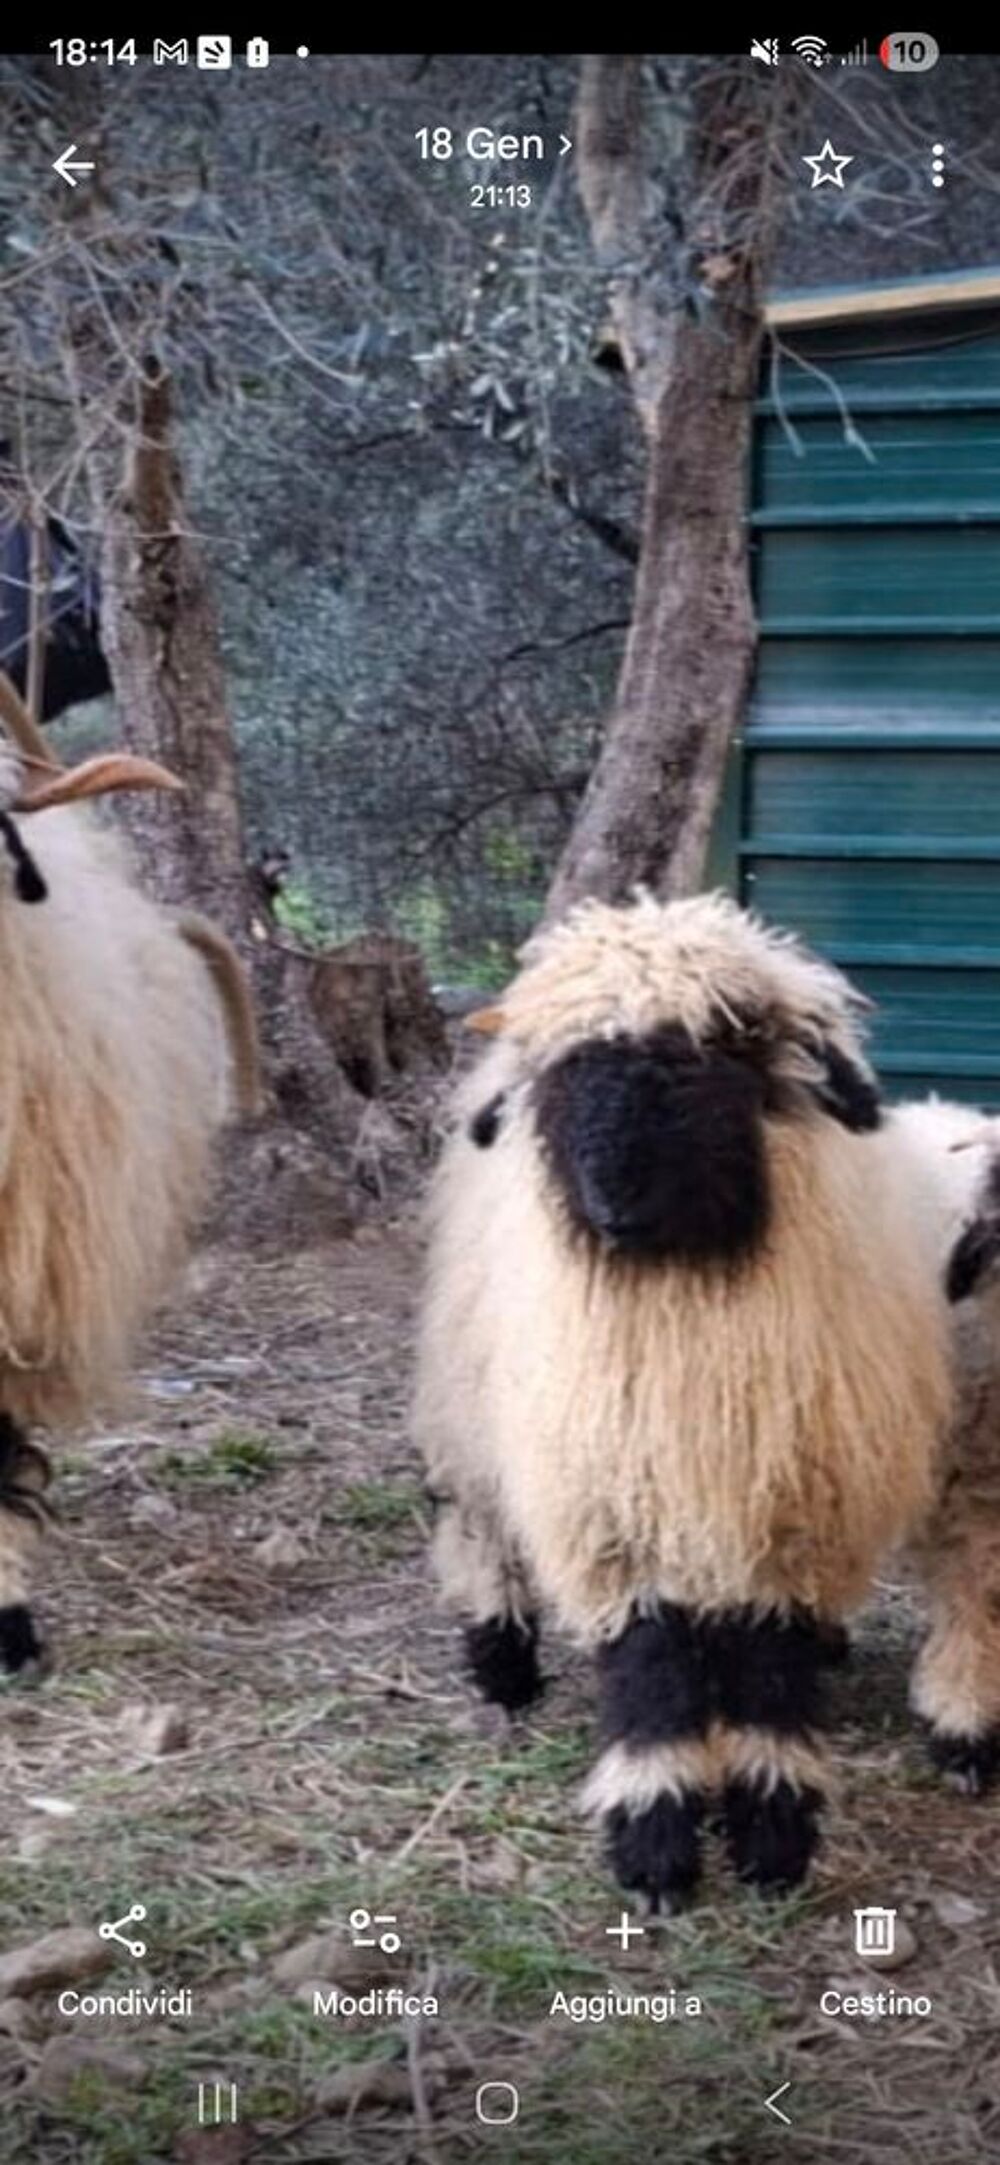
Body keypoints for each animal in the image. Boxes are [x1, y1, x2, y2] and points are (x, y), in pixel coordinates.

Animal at [413, 890, 953, 1905]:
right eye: (569, 1073)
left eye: (712, 1059)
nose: (611, 1202)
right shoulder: (611, 1508)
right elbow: (650, 1665)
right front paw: (655, 1842)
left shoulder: (794, 1506)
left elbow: (771, 1667)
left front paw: (774, 1830)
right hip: (470, 1401)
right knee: (478, 1523)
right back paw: (503, 1663)